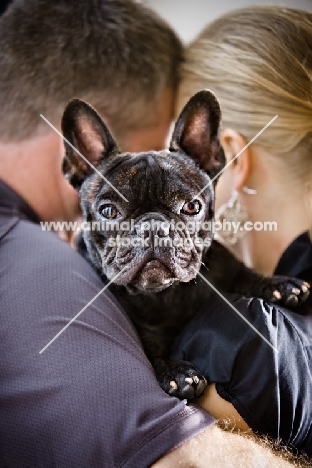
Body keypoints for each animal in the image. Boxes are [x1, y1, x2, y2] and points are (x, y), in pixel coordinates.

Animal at [61, 90, 310, 398]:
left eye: (192, 206)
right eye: (108, 211)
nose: (153, 227)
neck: (165, 295)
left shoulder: (225, 265)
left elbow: (244, 274)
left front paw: (280, 285)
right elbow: (147, 350)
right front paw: (177, 372)